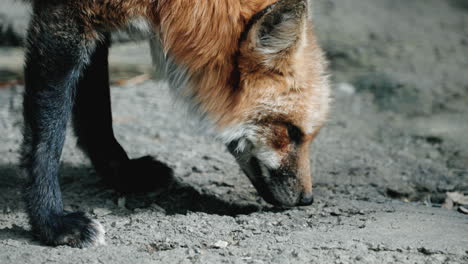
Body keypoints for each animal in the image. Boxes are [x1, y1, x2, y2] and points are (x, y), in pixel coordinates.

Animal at [20, 0, 330, 248]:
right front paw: (51, 223)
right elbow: (47, 139)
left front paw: (123, 174)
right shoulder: (64, 17)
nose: (307, 200)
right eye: (291, 131)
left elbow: (97, 112)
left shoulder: (93, 23)